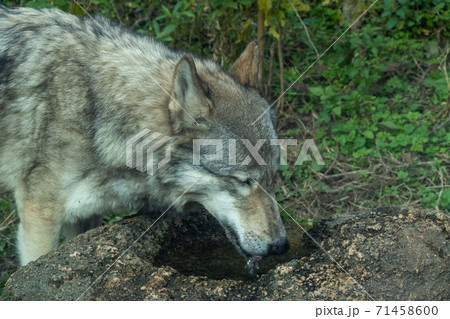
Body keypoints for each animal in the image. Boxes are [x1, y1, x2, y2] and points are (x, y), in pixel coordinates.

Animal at [0, 5, 288, 268]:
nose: (281, 245)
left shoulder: (84, 216)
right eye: (244, 180)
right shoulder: (40, 215)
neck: (97, 112)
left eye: (273, 178)